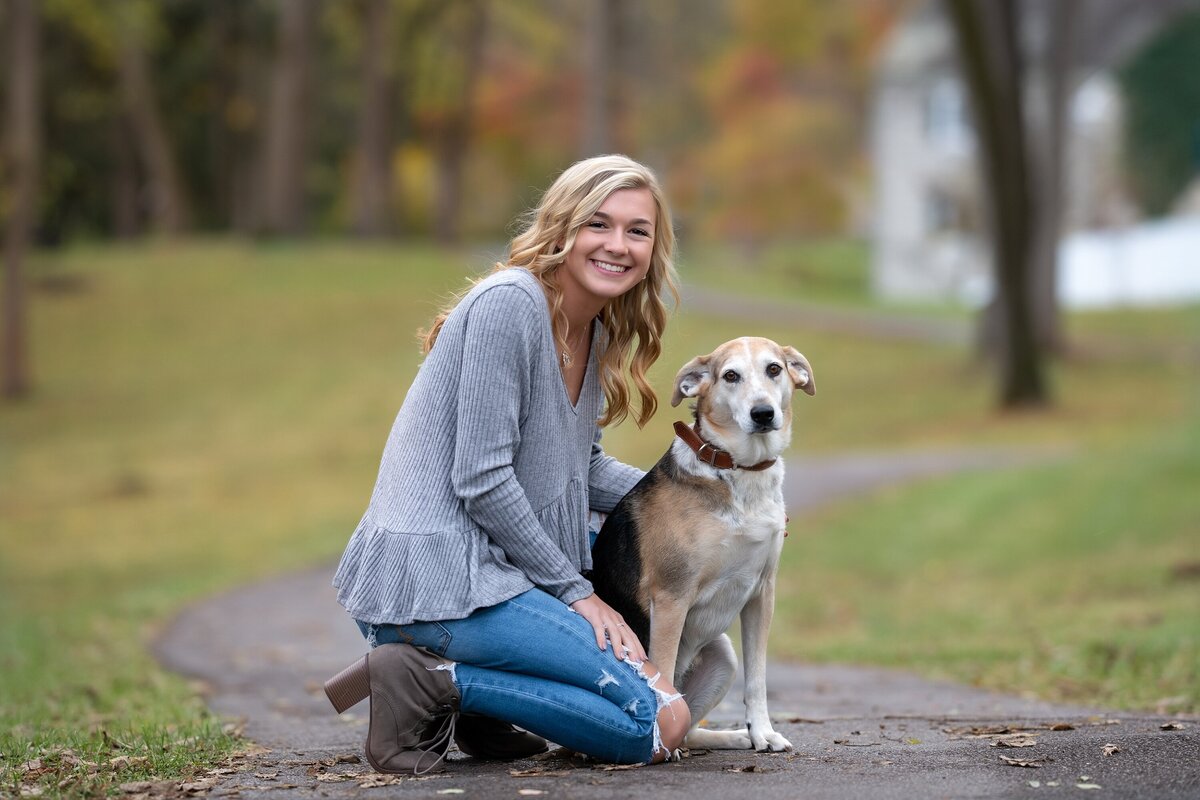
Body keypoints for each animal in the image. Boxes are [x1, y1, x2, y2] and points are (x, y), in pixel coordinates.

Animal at [590, 335, 816, 753]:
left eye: (774, 368)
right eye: (730, 376)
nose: (763, 413)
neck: (738, 471)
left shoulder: (762, 593)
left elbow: (757, 680)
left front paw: (762, 732)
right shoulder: (671, 597)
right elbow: (661, 673)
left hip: (723, 654)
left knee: (693, 730)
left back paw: (736, 738)